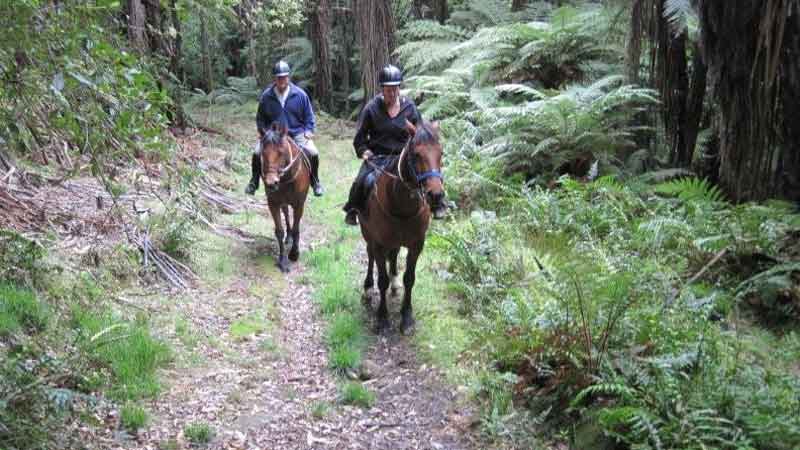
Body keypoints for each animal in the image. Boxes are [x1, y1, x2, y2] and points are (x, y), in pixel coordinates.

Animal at [262, 121, 312, 272]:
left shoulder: (299, 204)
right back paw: (288, 237)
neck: (286, 179)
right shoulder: (273, 204)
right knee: (286, 214)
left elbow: (296, 228)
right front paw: (282, 260)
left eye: (281, 152)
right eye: (263, 153)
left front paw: (294, 254)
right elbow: (279, 231)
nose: (271, 183)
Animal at [360, 120, 446, 334]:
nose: (436, 195)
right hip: (368, 235)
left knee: (393, 255)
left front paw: (406, 317)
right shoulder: (379, 243)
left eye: (441, 153)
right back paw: (368, 288)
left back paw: (394, 282)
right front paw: (382, 318)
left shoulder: (417, 245)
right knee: (371, 255)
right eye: (416, 154)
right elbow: (381, 280)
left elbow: (410, 278)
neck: (401, 205)